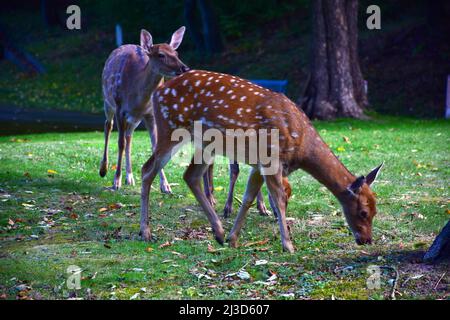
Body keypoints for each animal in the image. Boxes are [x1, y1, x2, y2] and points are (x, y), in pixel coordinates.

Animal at [100, 26, 188, 190]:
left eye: (176, 53)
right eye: (161, 55)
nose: (184, 68)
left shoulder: (150, 114)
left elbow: (155, 147)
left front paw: (165, 185)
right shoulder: (120, 108)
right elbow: (120, 143)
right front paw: (116, 181)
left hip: (135, 118)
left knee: (129, 136)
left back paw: (129, 177)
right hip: (108, 101)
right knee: (108, 126)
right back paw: (104, 169)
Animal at [141, 70, 384, 252]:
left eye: (375, 211)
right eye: (363, 212)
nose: (366, 239)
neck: (302, 147)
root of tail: (157, 92)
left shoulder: (259, 164)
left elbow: (248, 197)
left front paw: (233, 238)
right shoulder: (272, 159)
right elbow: (279, 199)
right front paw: (288, 245)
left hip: (205, 144)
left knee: (190, 175)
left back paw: (218, 232)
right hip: (171, 127)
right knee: (148, 169)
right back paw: (146, 232)